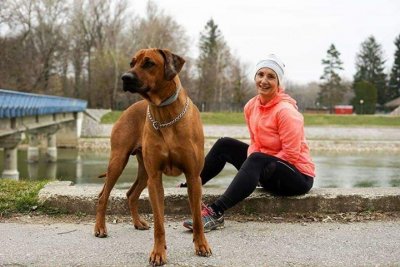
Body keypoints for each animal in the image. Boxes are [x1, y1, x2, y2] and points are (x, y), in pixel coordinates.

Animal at [94, 48, 212, 266]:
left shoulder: (193, 177)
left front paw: (201, 245)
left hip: (143, 172)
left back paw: (138, 223)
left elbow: (198, 219)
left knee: (131, 194)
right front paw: (158, 253)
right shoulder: (155, 179)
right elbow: (159, 223)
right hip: (119, 161)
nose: (125, 77)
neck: (165, 112)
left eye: (149, 63)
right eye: (132, 63)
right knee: (103, 196)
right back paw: (100, 228)